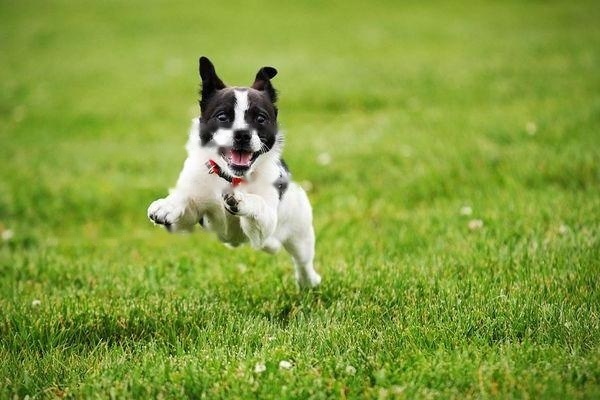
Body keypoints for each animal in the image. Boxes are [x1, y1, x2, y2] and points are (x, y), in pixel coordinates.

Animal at [147, 56, 322, 288]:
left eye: (260, 119)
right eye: (222, 117)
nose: (242, 134)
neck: (232, 177)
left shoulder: (265, 221)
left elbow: (258, 204)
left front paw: (241, 200)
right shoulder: (195, 209)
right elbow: (186, 199)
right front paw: (167, 205)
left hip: (299, 230)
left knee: (302, 260)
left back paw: (308, 281)